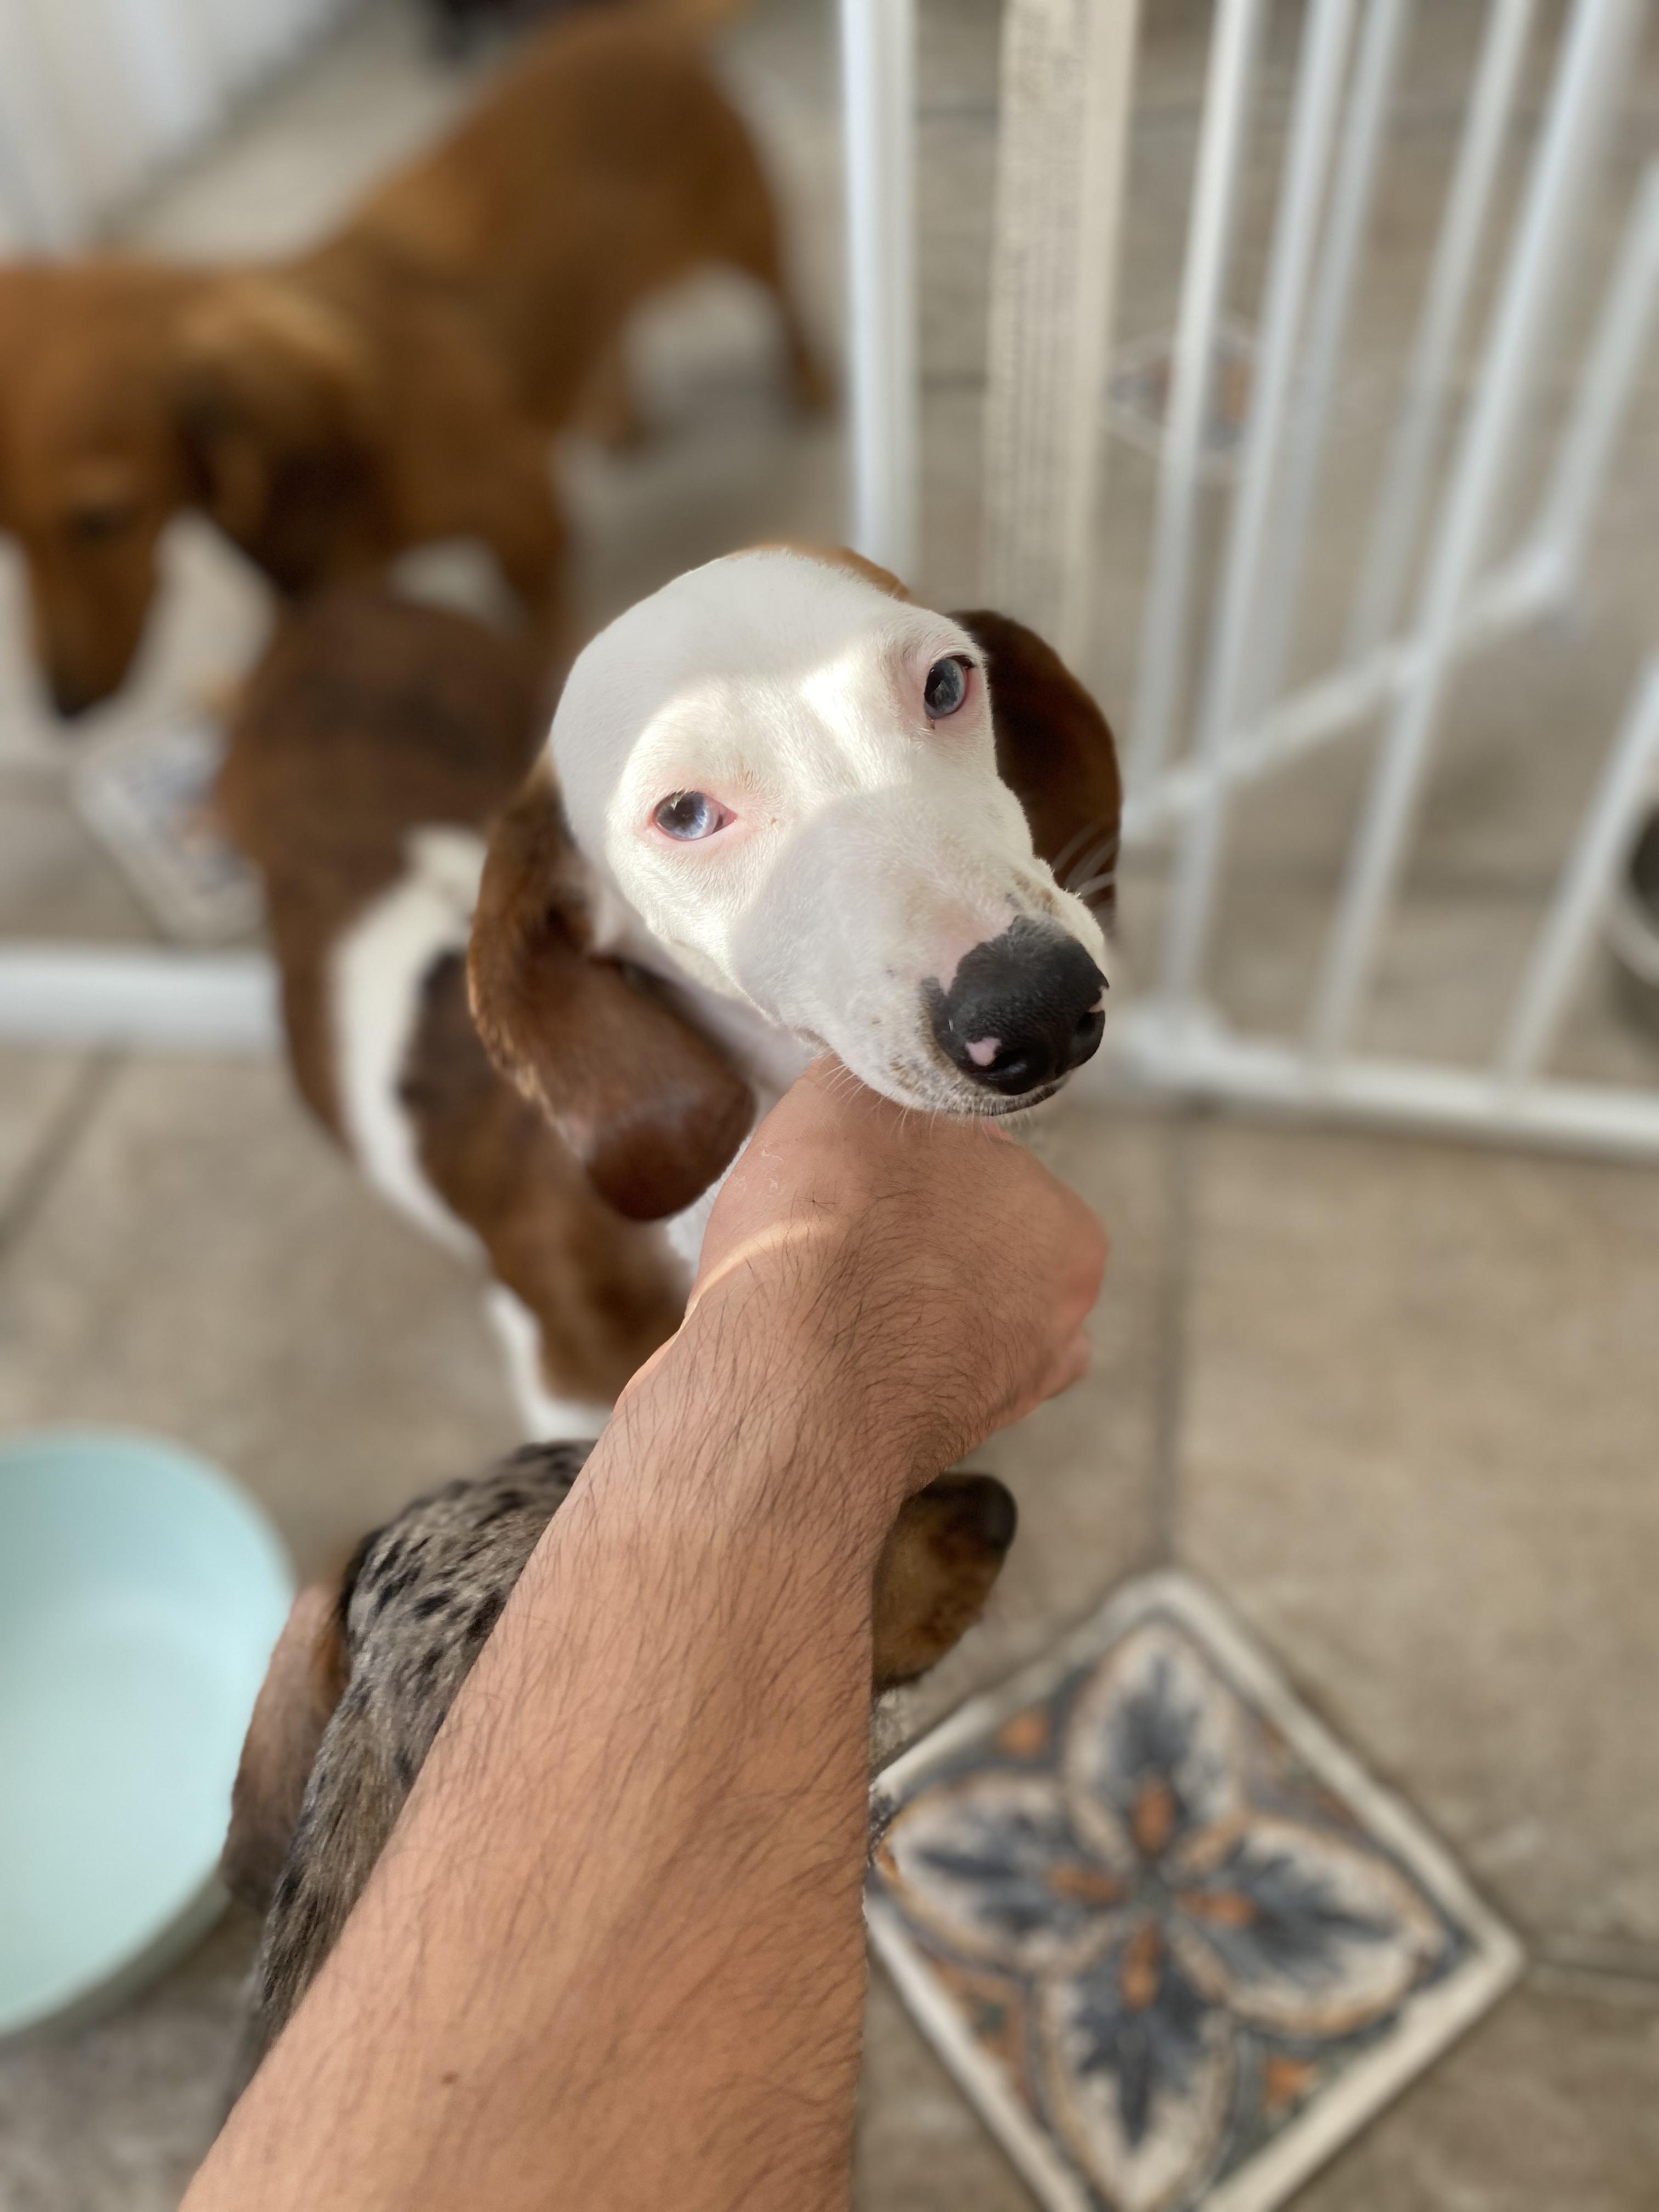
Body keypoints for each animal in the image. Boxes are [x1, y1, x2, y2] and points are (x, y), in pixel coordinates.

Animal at [0, 0, 823, 716]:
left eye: (100, 519)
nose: (64, 708)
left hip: (744, 230)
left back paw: (810, 383)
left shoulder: (522, 507)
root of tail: (627, 28)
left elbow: (537, 623)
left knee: (785, 303)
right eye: (10, 533)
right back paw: (622, 412)